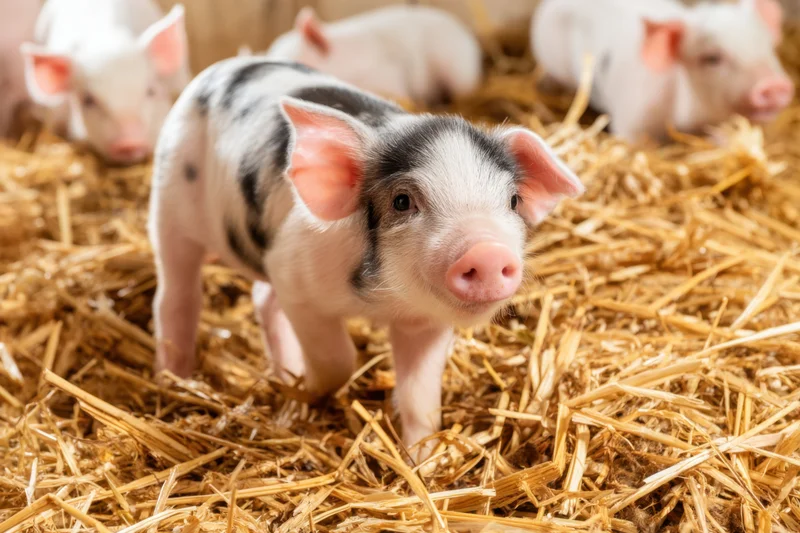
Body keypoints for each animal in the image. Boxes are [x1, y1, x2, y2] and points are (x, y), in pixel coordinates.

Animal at [148, 58, 584, 458]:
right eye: (402, 201)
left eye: (513, 201)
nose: (487, 251)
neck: (381, 301)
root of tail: (219, 69)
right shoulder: (295, 277)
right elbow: (339, 358)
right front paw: (311, 389)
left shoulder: (425, 323)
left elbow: (420, 396)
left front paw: (423, 461)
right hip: (169, 204)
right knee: (175, 296)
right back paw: (175, 378)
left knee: (260, 298)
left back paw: (283, 373)